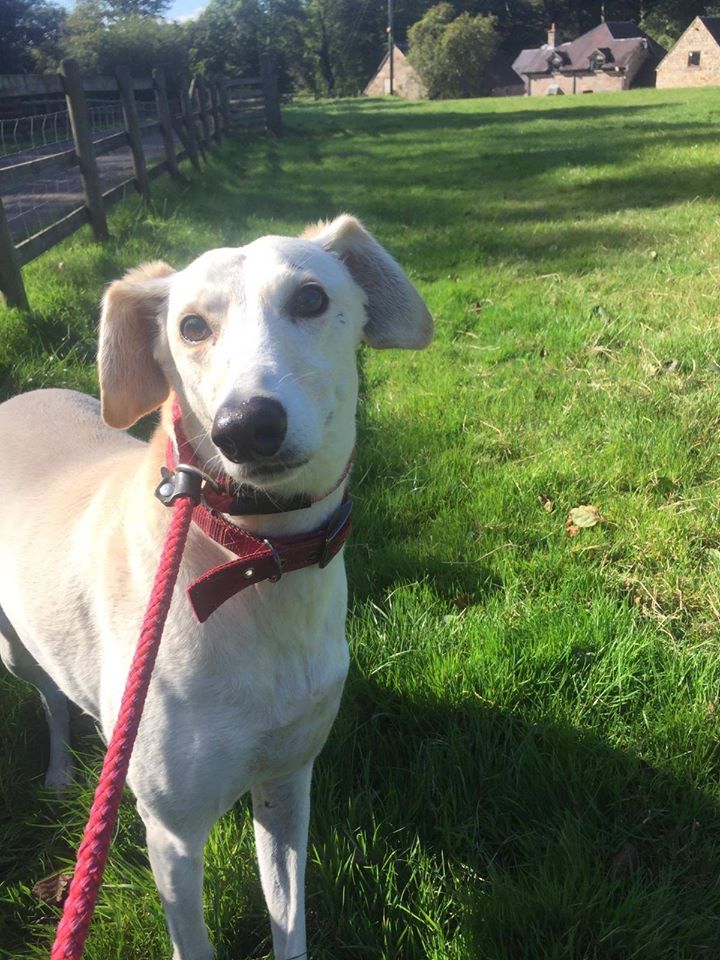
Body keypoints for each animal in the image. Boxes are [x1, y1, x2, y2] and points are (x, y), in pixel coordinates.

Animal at [0, 214, 433, 959]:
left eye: (312, 298)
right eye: (192, 326)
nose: (247, 427)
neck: (256, 558)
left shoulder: (287, 782)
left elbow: (289, 918)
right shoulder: (173, 835)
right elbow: (192, 940)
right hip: (14, 650)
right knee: (50, 697)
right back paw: (58, 770)